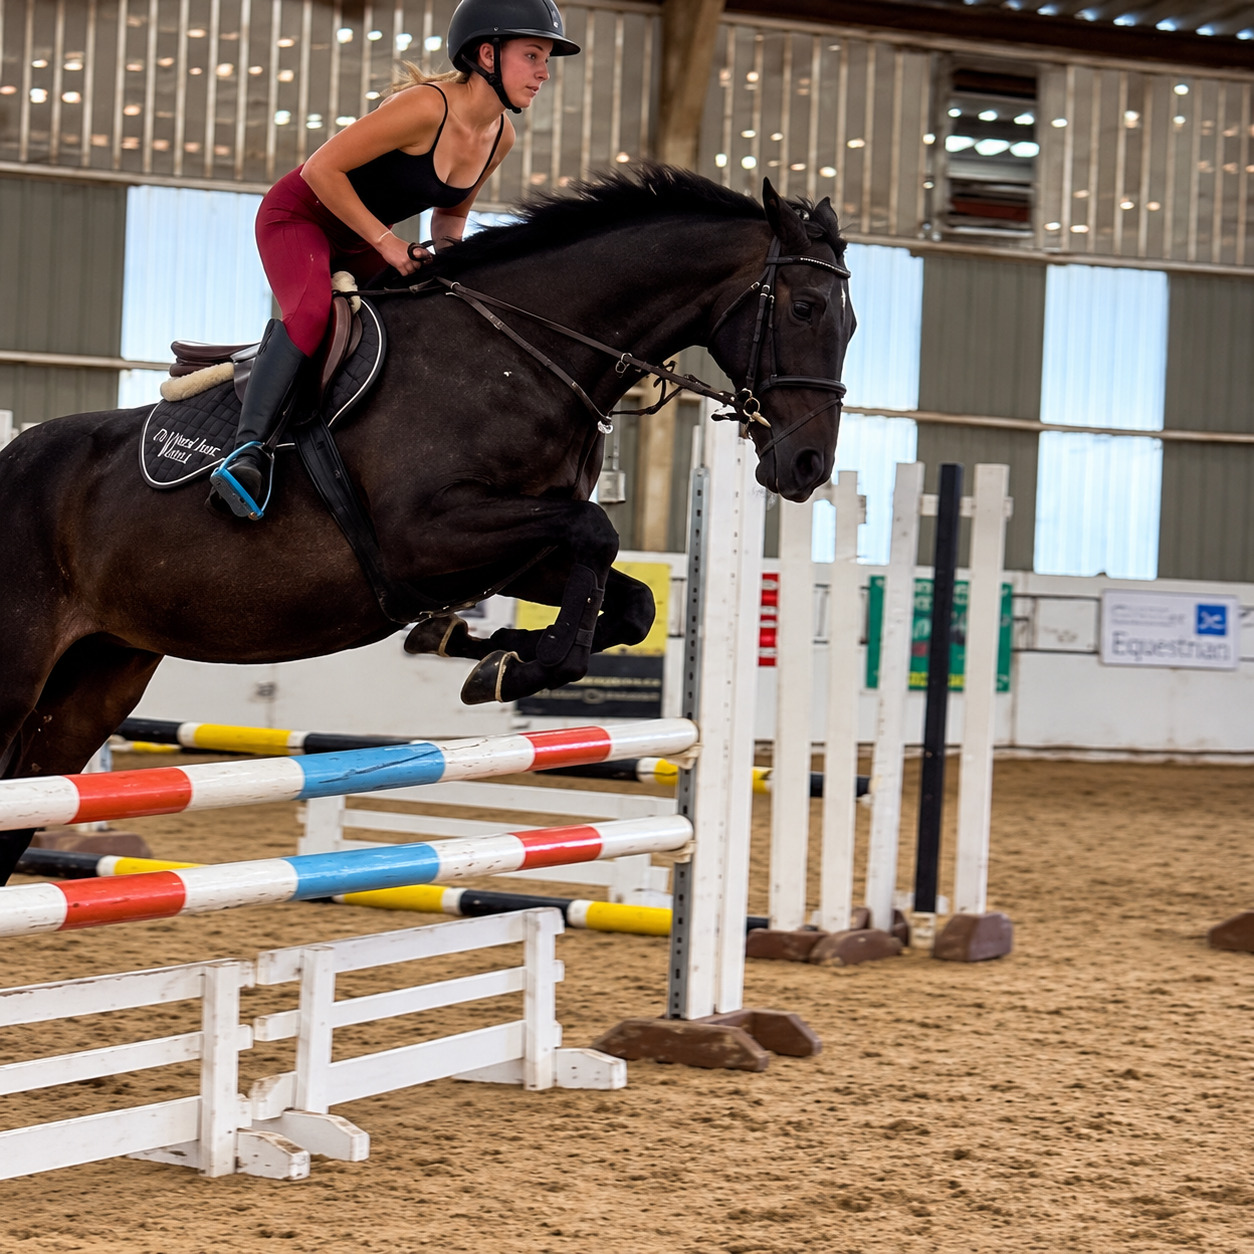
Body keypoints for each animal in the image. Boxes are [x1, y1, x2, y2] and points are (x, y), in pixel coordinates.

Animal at [0, 164, 855, 883]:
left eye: (850, 323)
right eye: (805, 307)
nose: (808, 465)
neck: (521, 352)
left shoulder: (510, 550)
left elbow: (627, 594)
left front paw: (484, 650)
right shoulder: (426, 535)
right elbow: (596, 531)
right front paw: (512, 662)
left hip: (97, 677)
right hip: (22, 666)